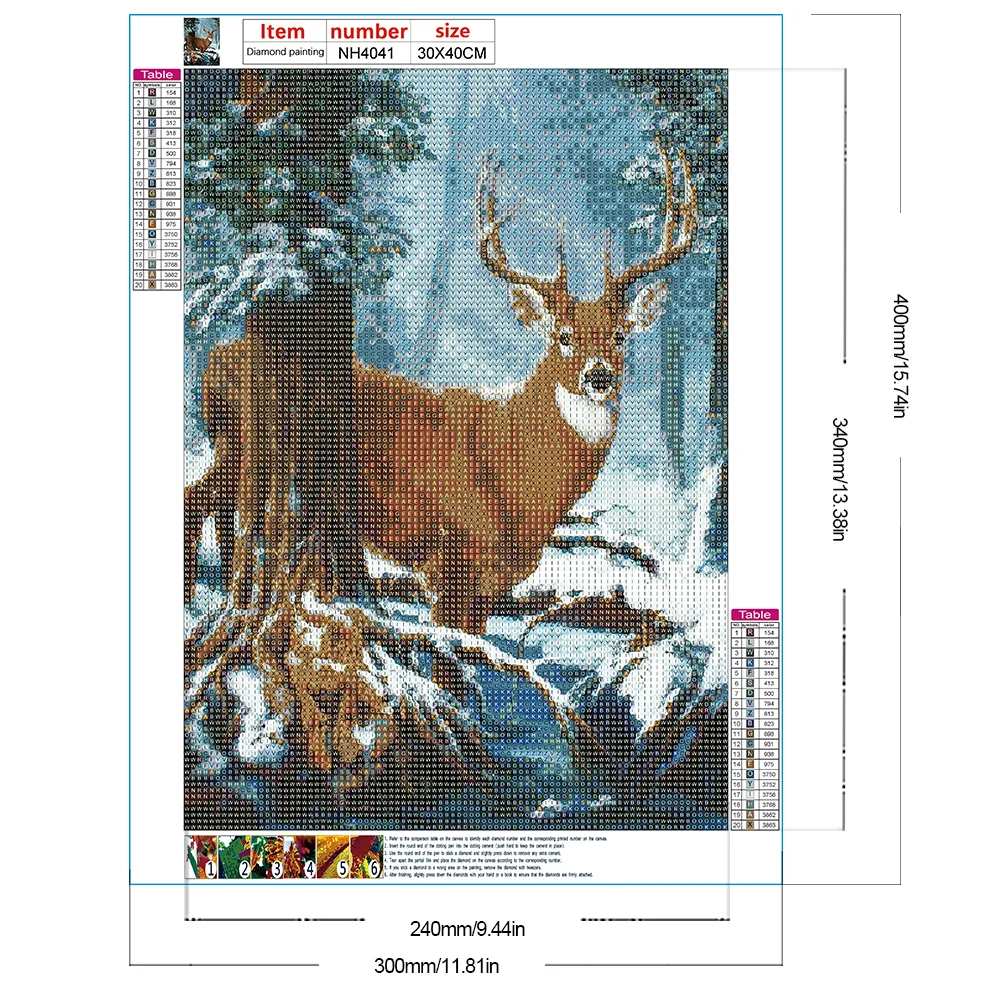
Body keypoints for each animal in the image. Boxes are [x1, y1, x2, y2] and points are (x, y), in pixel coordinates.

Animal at [184, 141, 696, 636]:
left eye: (620, 336)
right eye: (563, 336)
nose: (598, 375)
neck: (519, 482)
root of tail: (215, 358)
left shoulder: (496, 576)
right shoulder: (451, 554)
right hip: (245, 442)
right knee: (201, 502)